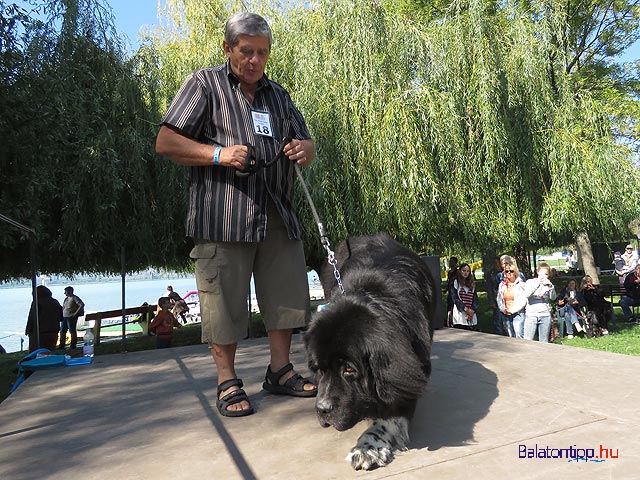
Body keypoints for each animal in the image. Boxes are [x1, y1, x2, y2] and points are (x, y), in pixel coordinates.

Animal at [304, 234, 436, 470]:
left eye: (349, 369)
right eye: (319, 369)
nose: (322, 409)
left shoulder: (407, 374)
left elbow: (389, 413)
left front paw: (367, 447)